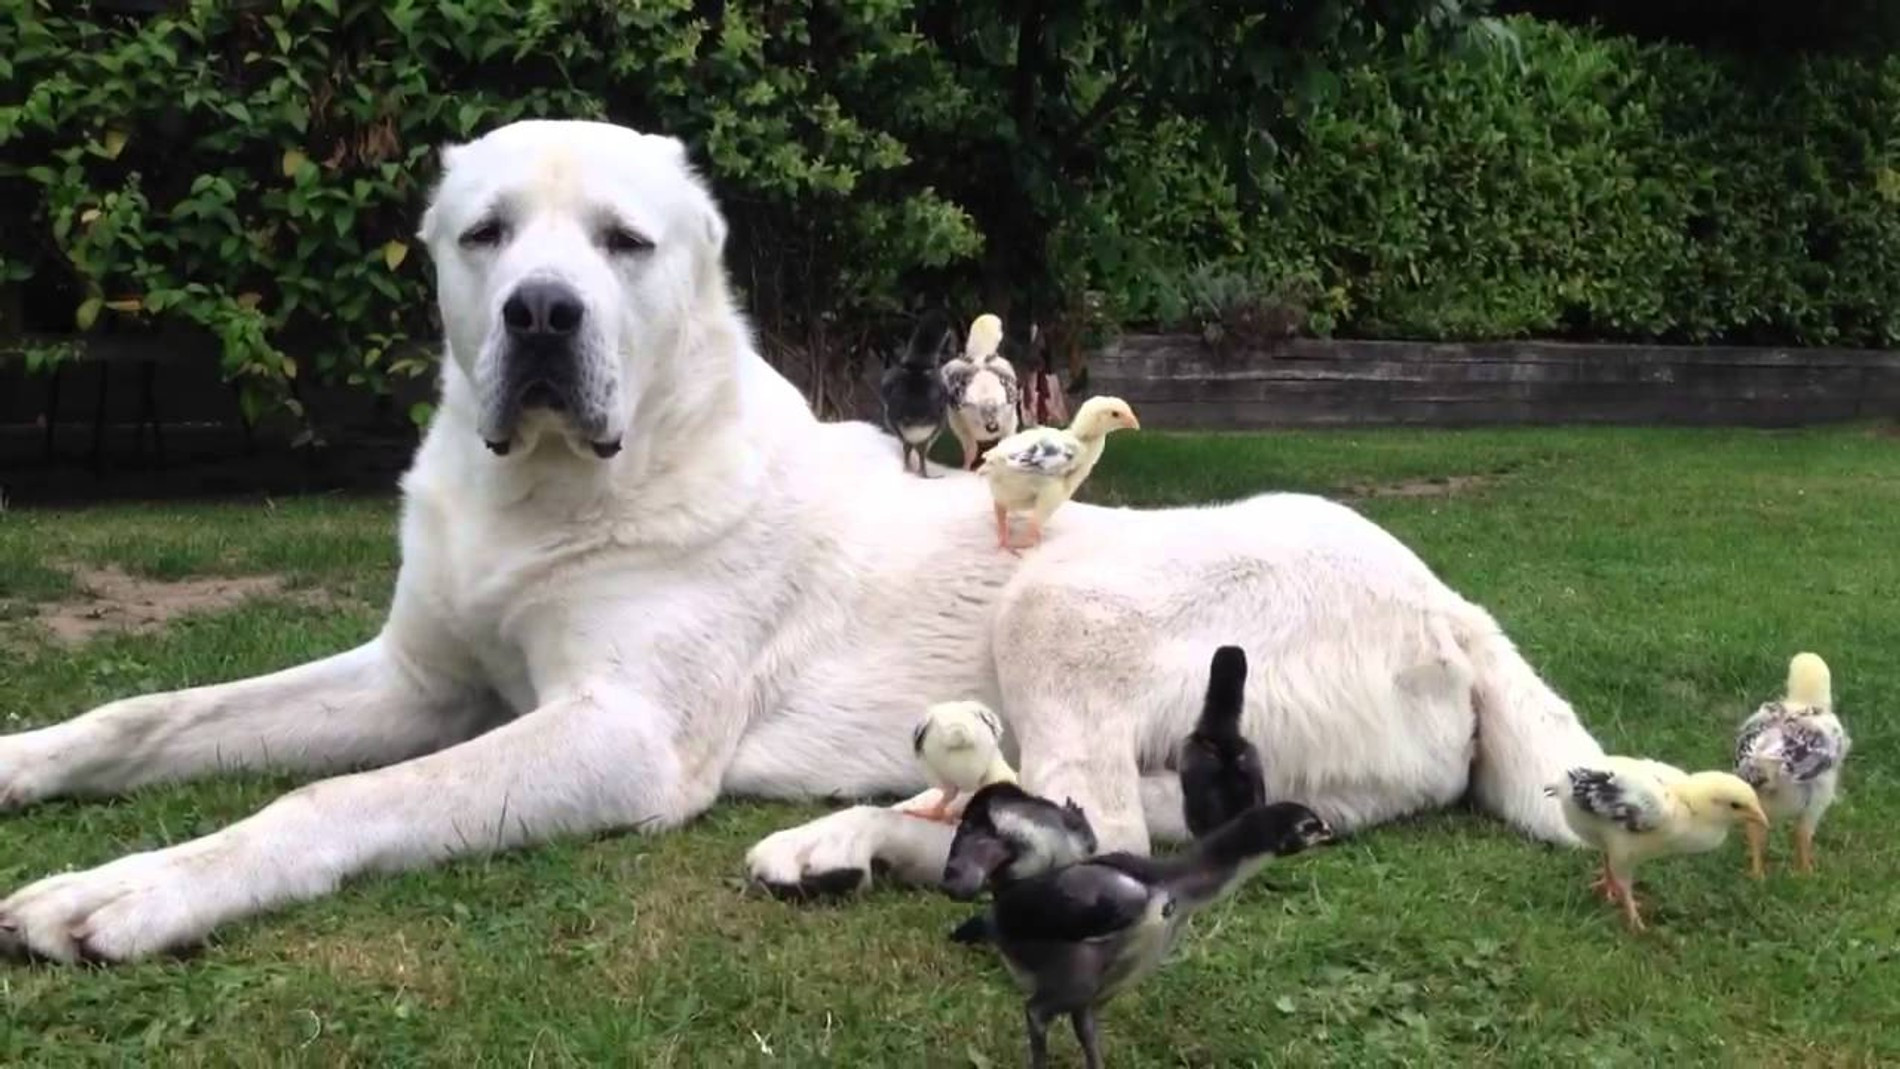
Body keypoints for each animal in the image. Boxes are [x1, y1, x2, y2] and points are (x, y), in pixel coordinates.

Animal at [0, 121, 1603, 964]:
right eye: (486, 234)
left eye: (624, 244)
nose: (541, 316)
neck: (560, 487)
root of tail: (1454, 605)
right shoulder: (415, 682)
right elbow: (148, 713)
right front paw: (26, 763)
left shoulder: (621, 737)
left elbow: (331, 801)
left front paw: (135, 889)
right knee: (1104, 820)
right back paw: (856, 840)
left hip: (1064, 597)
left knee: (1104, 822)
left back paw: (865, 842)